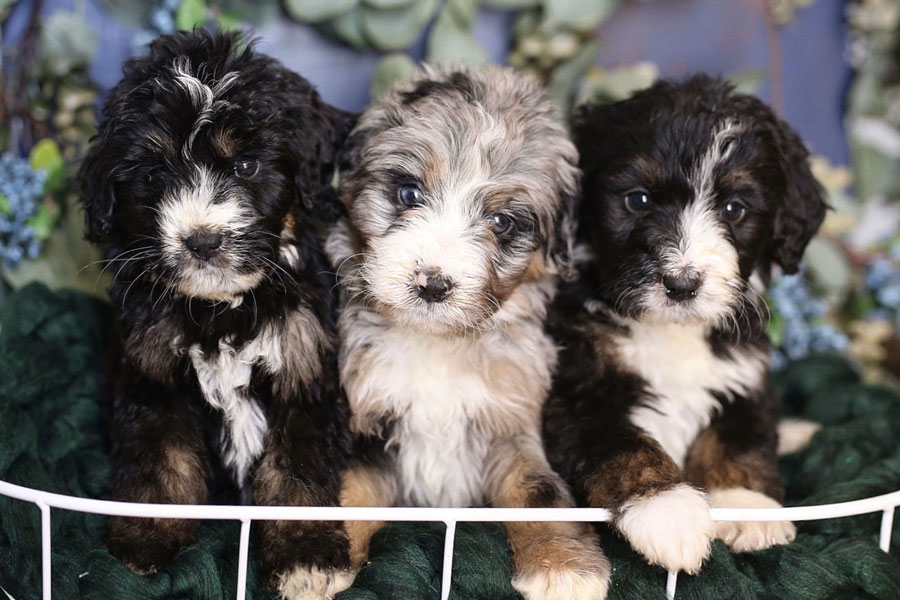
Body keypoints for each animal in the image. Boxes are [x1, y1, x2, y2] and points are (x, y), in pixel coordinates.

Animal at [77, 29, 356, 600]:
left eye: (246, 166)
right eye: (155, 173)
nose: (202, 241)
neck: (221, 308)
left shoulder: (304, 369)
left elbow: (298, 470)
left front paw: (307, 557)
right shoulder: (150, 371)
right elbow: (160, 456)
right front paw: (148, 538)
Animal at [326, 65, 612, 600]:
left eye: (501, 222)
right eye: (409, 194)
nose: (433, 284)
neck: (438, 342)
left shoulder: (511, 420)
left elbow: (535, 490)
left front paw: (563, 567)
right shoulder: (367, 418)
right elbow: (349, 490)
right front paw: (316, 561)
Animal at [540, 77, 828, 576]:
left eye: (733, 209)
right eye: (638, 200)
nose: (681, 284)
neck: (670, 330)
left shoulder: (742, 373)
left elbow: (739, 436)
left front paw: (747, 506)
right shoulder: (576, 390)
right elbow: (625, 446)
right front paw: (668, 511)